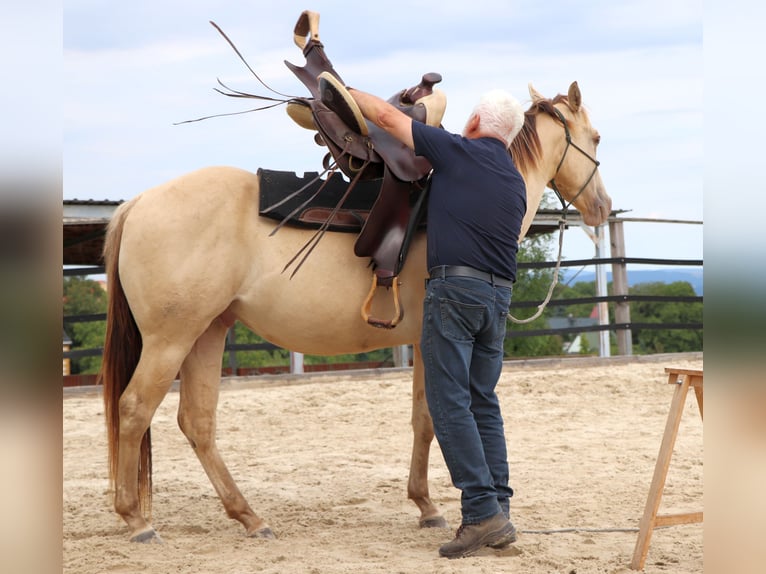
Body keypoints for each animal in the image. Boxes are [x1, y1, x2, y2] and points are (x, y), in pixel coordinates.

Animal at [100, 81, 611, 543]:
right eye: (596, 137)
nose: (603, 208)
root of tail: (139, 202)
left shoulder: (423, 343)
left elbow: (423, 418)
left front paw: (425, 505)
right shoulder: (434, 341)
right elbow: (432, 419)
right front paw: (428, 505)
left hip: (207, 333)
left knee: (197, 423)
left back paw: (249, 516)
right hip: (171, 340)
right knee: (134, 409)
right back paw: (137, 519)